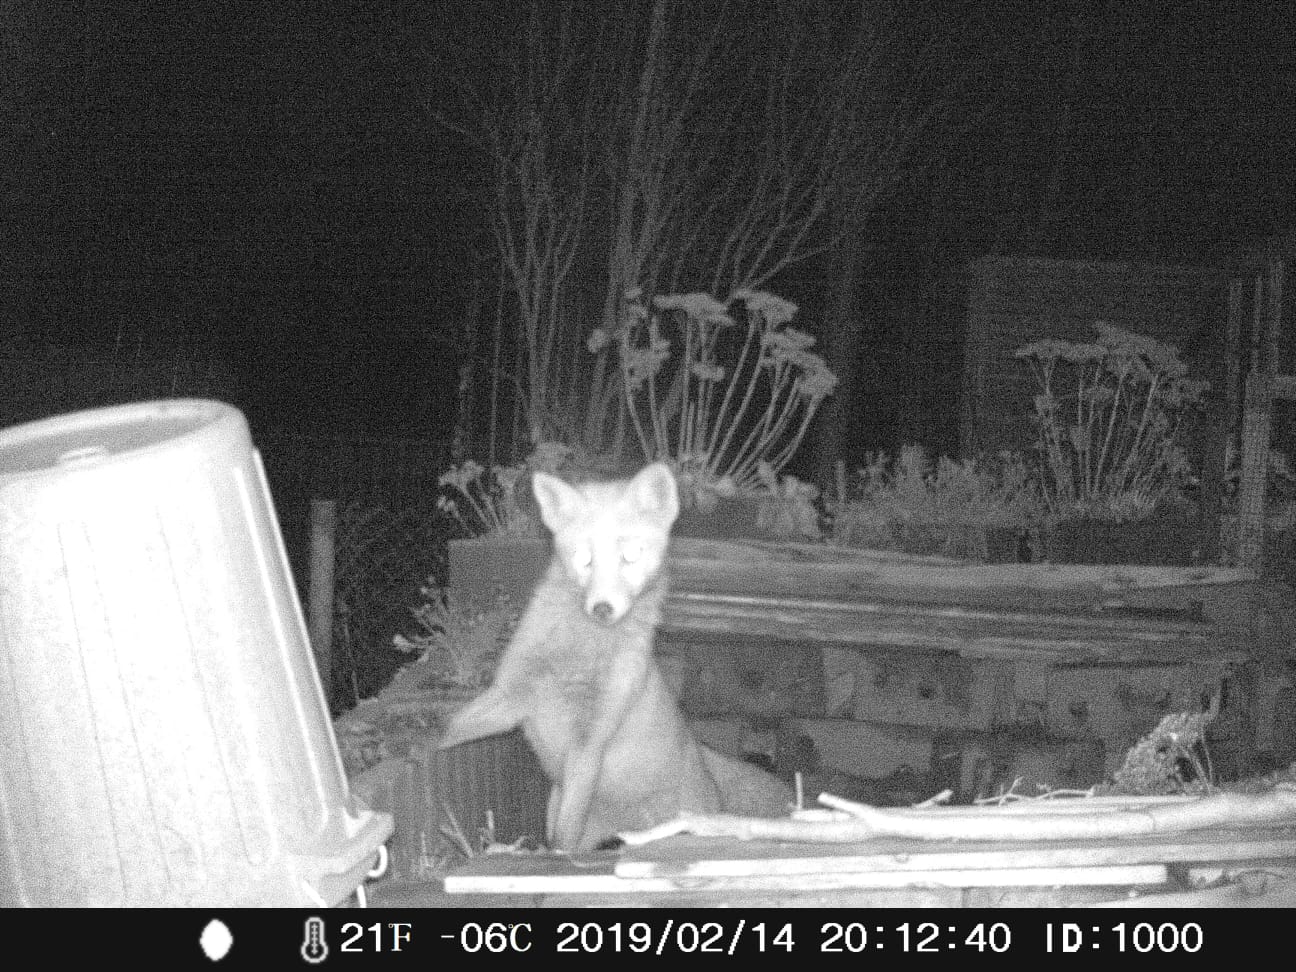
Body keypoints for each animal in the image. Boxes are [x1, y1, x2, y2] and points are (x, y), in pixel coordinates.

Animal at [438, 461, 792, 852]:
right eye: (584, 558)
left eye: (631, 555)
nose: (602, 608)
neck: (575, 662)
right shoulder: (511, 697)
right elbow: (447, 731)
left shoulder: (591, 741)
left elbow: (564, 836)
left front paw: (554, 857)